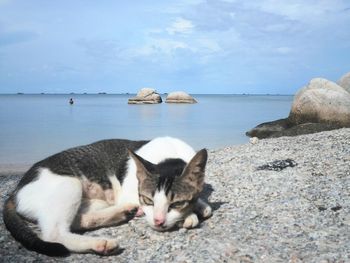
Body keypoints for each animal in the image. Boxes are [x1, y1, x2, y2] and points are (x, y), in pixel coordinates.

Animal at [2, 138, 212, 258]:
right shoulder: (131, 194)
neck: (169, 153)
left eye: (177, 202)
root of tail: (15, 189)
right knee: (55, 233)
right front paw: (189, 215)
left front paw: (200, 205)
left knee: (78, 220)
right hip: (70, 184)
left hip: (92, 202)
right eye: (148, 200)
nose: (158, 221)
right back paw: (99, 243)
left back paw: (122, 213)